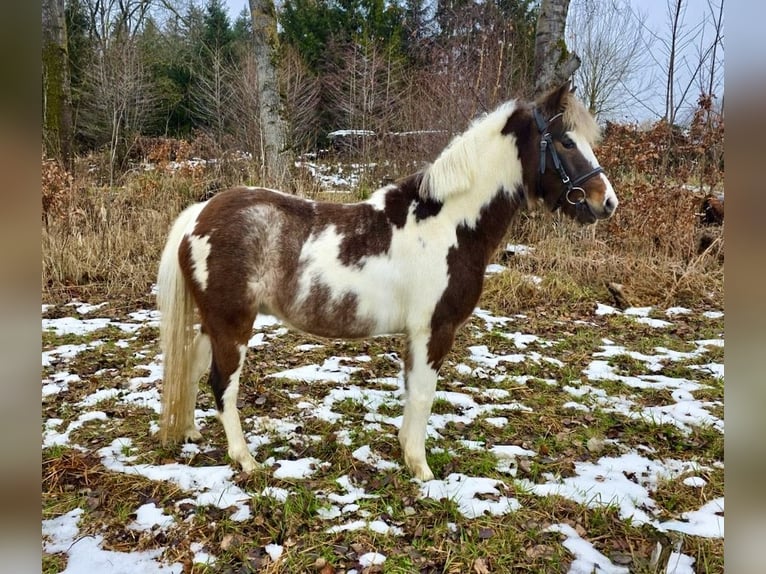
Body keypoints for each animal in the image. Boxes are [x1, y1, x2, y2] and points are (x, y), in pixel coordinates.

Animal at [156, 82, 618, 481]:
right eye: (566, 142)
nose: (606, 202)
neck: (448, 223)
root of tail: (200, 214)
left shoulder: (417, 335)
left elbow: (411, 393)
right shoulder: (433, 331)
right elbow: (423, 396)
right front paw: (421, 469)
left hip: (213, 323)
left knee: (194, 367)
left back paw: (192, 431)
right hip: (233, 324)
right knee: (223, 384)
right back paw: (246, 460)